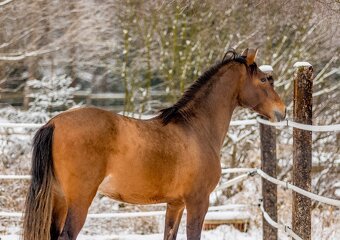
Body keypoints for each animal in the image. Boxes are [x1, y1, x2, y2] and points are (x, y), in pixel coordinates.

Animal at [22, 48, 286, 240]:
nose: (282, 111)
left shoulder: (175, 204)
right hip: (78, 201)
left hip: (58, 199)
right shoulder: (198, 202)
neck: (197, 128)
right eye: (264, 79)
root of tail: (54, 124)